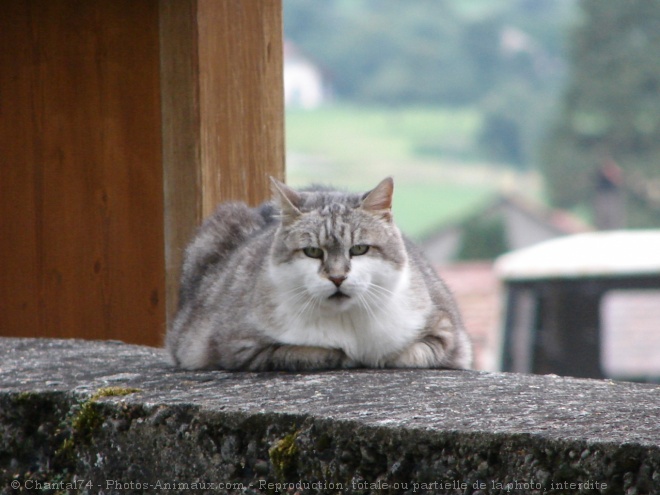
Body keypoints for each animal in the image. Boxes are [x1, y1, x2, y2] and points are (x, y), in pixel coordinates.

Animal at [168, 178, 472, 372]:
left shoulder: (448, 333)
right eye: (312, 251)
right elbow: (300, 353)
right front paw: (344, 355)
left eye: (359, 249)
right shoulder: (240, 347)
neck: (345, 321)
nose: (337, 277)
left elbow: (412, 353)